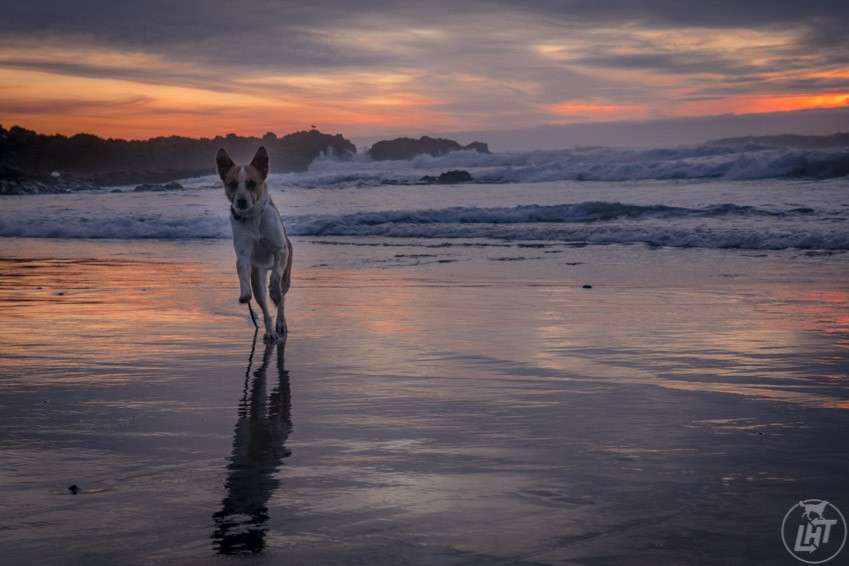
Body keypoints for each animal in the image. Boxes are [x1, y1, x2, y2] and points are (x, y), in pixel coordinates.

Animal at [217, 146, 294, 344]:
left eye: (252, 183)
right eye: (232, 183)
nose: (241, 200)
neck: (252, 217)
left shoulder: (281, 250)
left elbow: (275, 276)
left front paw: (274, 290)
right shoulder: (243, 254)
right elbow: (242, 272)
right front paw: (244, 293)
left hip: (287, 273)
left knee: (282, 298)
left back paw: (280, 321)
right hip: (258, 277)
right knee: (264, 307)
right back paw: (270, 332)